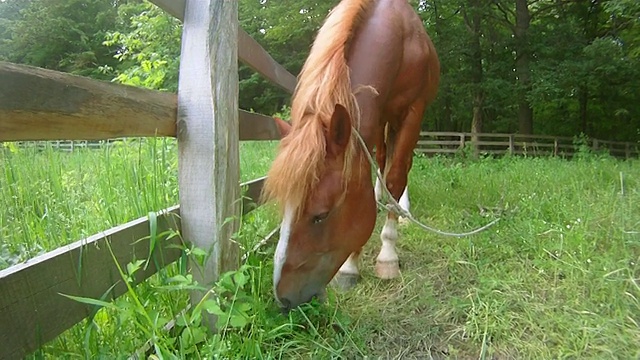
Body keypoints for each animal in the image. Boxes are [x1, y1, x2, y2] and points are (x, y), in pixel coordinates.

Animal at [262, 0, 438, 310]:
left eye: (320, 215)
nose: (283, 298)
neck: (400, 37)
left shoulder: (413, 112)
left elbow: (397, 176)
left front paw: (387, 256)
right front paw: (350, 267)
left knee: (400, 167)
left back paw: (401, 209)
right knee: (382, 159)